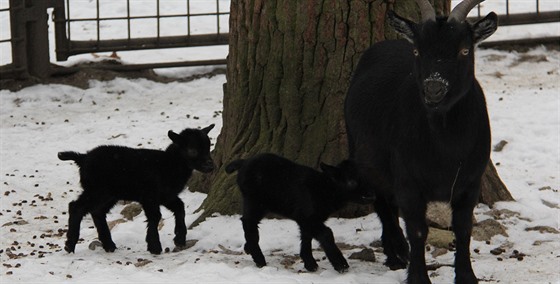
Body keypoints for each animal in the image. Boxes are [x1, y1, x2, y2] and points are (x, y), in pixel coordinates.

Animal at [346, 1, 498, 282]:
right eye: (417, 50)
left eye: (464, 50)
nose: (434, 89)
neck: (447, 147)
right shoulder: (408, 180)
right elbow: (417, 231)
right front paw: (417, 276)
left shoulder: (470, 182)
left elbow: (463, 229)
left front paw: (467, 276)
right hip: (363, 153)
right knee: (383, 203)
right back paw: (396, 252)